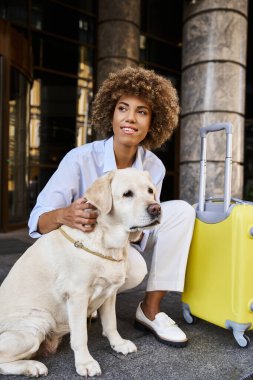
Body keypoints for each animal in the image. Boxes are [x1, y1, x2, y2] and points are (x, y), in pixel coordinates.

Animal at [0, 168, 161, 378]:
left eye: (150, 191)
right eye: (127, 194)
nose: (156, 208)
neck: (106, 244)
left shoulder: (110, 291)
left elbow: (111, 323)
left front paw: (118, 344)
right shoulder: (78, 295)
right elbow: (80, 336)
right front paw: (85, 363)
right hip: (38, 321)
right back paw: (32, 366)